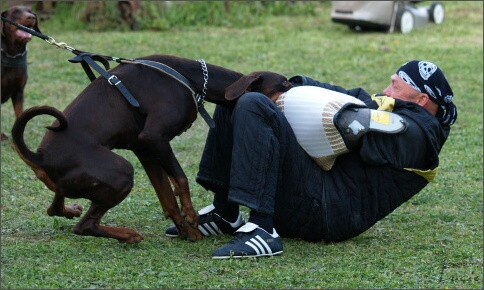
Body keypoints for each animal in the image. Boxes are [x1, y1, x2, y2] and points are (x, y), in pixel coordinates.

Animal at [1, 4, 41, 140]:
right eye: (15, 12)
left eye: (30, 12)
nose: (31, 17)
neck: (12, 54)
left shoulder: (19, 92)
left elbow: (19, 116)